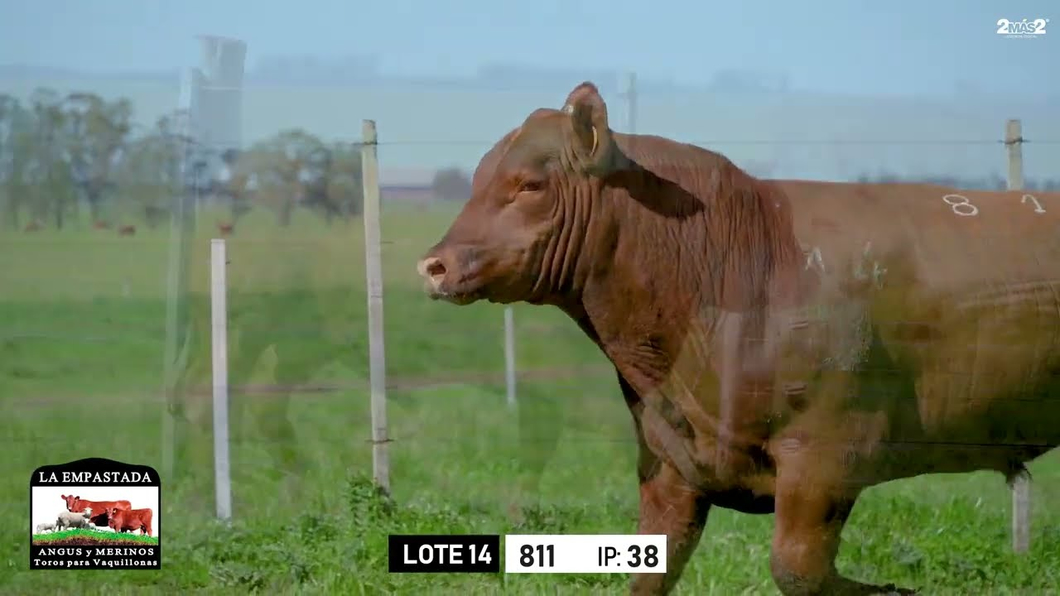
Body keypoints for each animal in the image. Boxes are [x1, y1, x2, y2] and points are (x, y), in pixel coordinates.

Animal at [415, 80, 1060, 593]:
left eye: (528, 185)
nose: (434, 265)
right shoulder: (669, 460)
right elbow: (654, 567)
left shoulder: (826, 454)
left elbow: (797, 569)